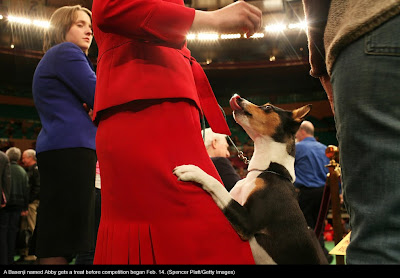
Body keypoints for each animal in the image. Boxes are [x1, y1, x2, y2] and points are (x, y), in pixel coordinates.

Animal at [173, 94, 326, 264]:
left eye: (268, 107)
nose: (237, 98)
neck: (267, 169)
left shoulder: (248, 221)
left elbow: (216, 184)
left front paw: (194, 171)